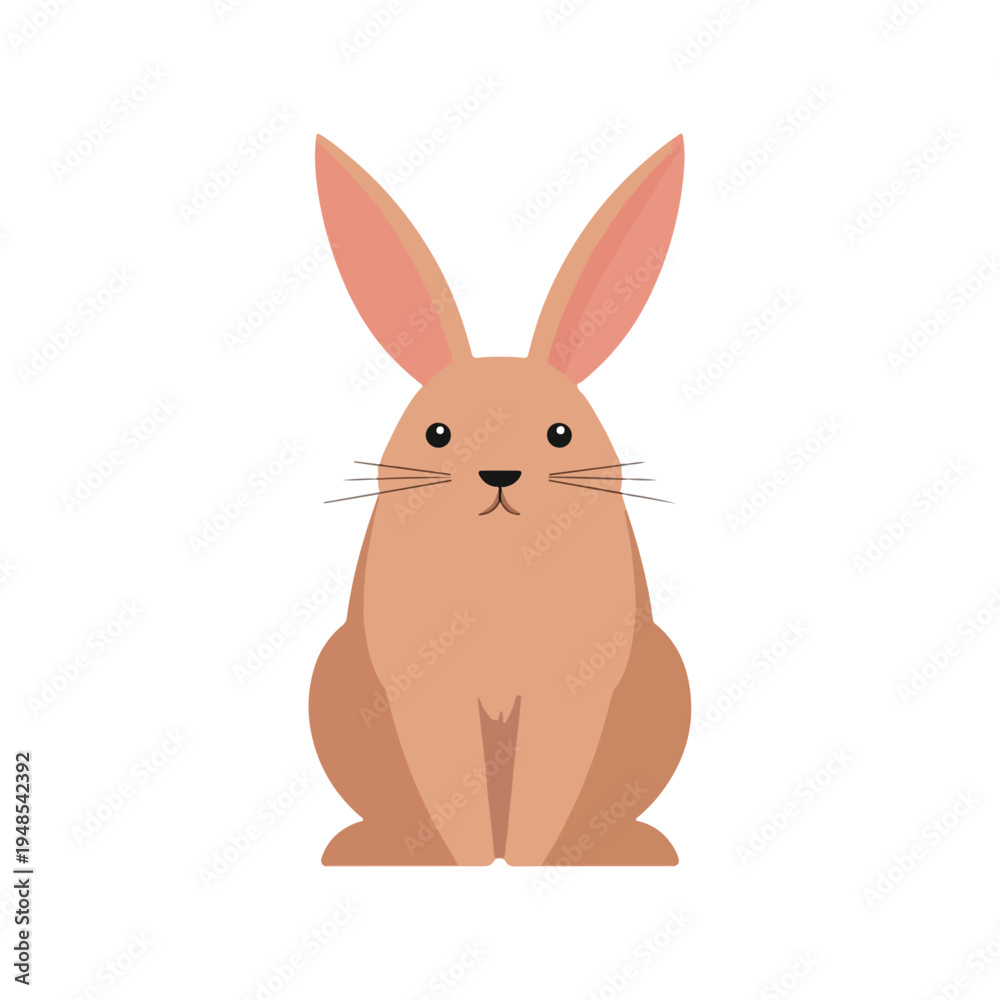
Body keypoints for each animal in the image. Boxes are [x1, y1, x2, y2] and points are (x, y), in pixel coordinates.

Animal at [309, 133, 690, 866]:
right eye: (437, 434)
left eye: (560, 433)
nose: (500, 474)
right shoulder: (422, 687)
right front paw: (472, 862)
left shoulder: (573, 688)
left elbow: (548, 783)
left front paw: (529, 862)